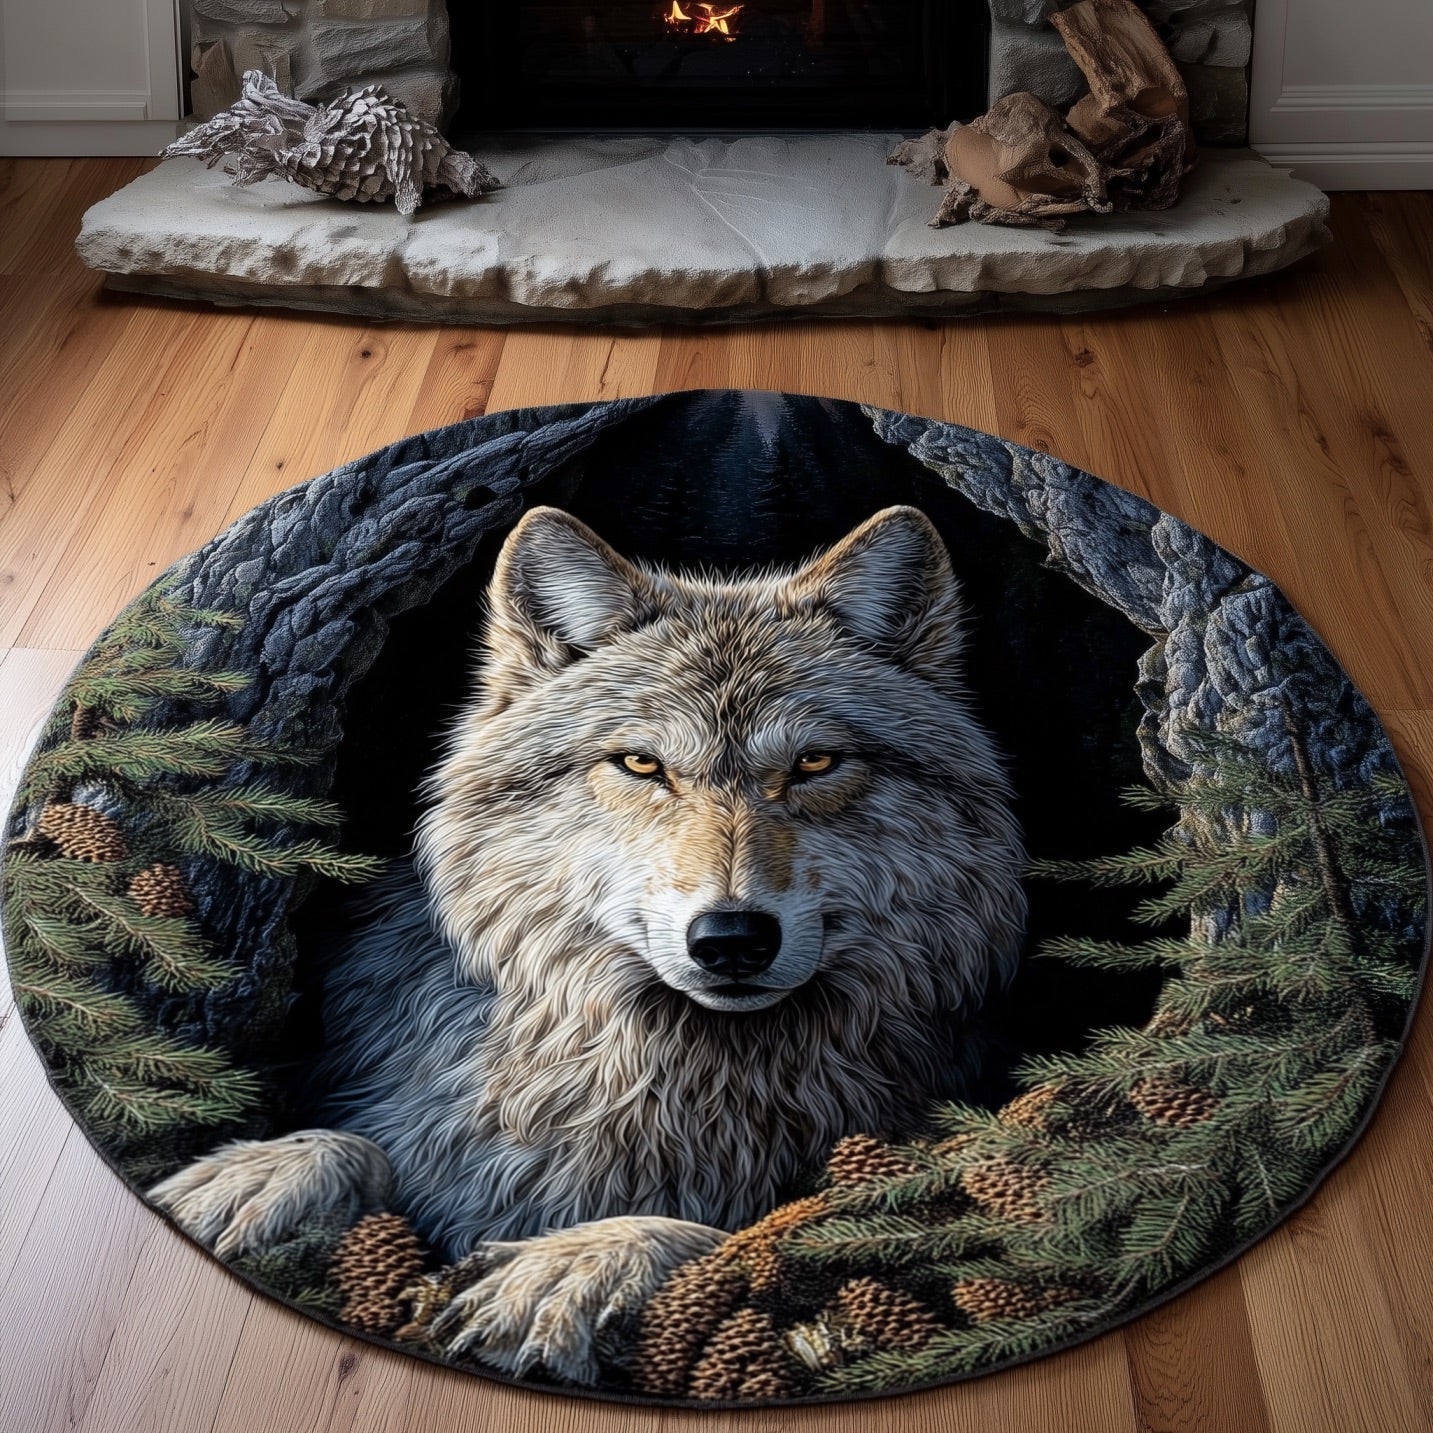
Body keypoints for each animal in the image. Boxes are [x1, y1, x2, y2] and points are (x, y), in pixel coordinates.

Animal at [151, 503, 1027, 1385]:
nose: (731, 939)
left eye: (814, 762)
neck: (683, 1085)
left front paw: (572, 1265)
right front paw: (247, 1182)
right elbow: (354, 1146)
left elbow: (737, 1235)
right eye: (640, 762)